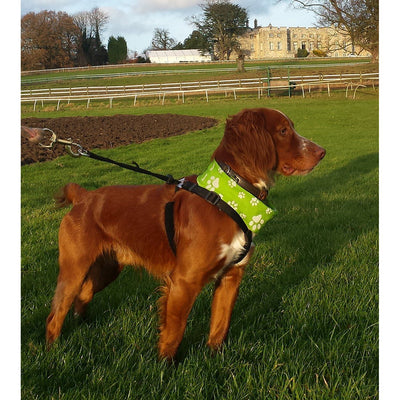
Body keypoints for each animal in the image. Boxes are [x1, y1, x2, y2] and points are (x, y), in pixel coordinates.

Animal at [45, 107, 324, 360]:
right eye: (283, 131)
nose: (322, 152)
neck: (228, 196)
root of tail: (83, 196)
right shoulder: (184, 281)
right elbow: (174, 331)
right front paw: (164, 368)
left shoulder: (232, 275)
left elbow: (220, 325)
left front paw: (215, 361)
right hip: (74, 267)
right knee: (55, 313)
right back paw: (52, 353)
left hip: (108, 267)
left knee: (84, 294)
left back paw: (83, 326)